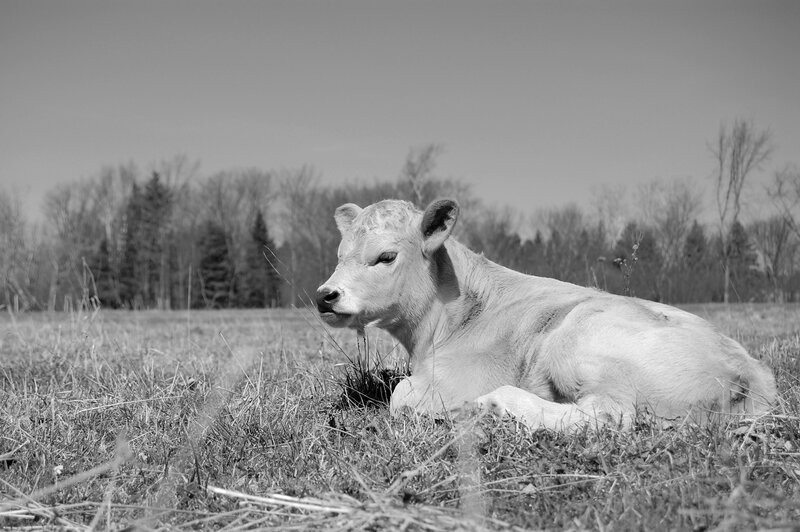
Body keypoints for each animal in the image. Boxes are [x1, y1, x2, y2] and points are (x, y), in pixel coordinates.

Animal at [316, 198, 777, 431]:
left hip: (577, 340)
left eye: (386, 256)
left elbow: (401, 395)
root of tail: (750, 371)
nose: (325, 296)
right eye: (339, 255)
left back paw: (494, 404)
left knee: (609, 415)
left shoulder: (451, 380)